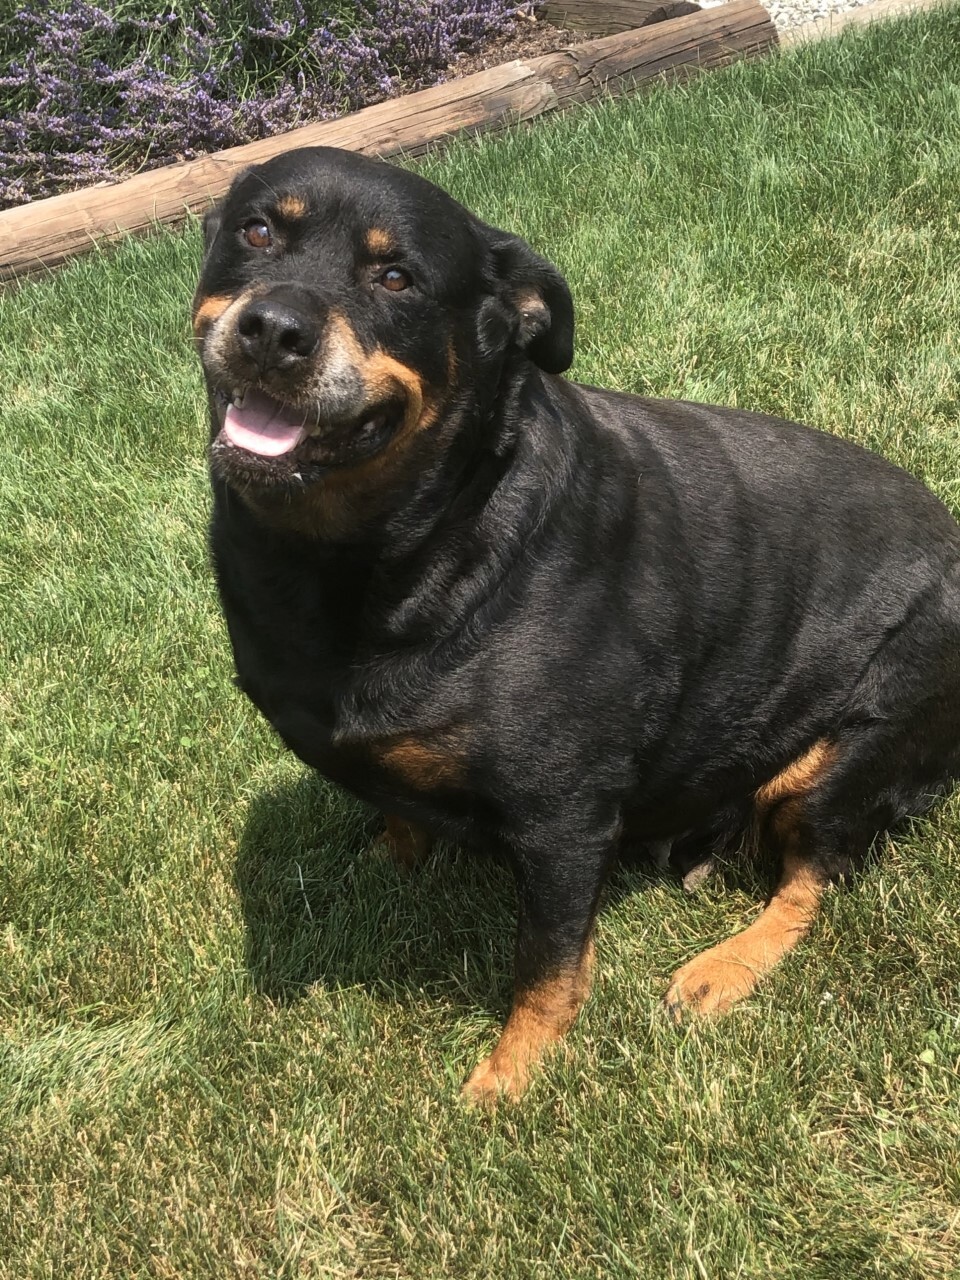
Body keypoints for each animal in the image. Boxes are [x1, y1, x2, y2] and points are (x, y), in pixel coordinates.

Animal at [192, 140, 960, 1100]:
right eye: (257, 231)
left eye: (397, 277)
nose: (274, 328)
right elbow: (398, 818)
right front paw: (374, 870)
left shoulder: (563, 816)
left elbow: (548, 963)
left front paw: (510, 1080)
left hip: (850, 746)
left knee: (816, 874)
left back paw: (726, 964)